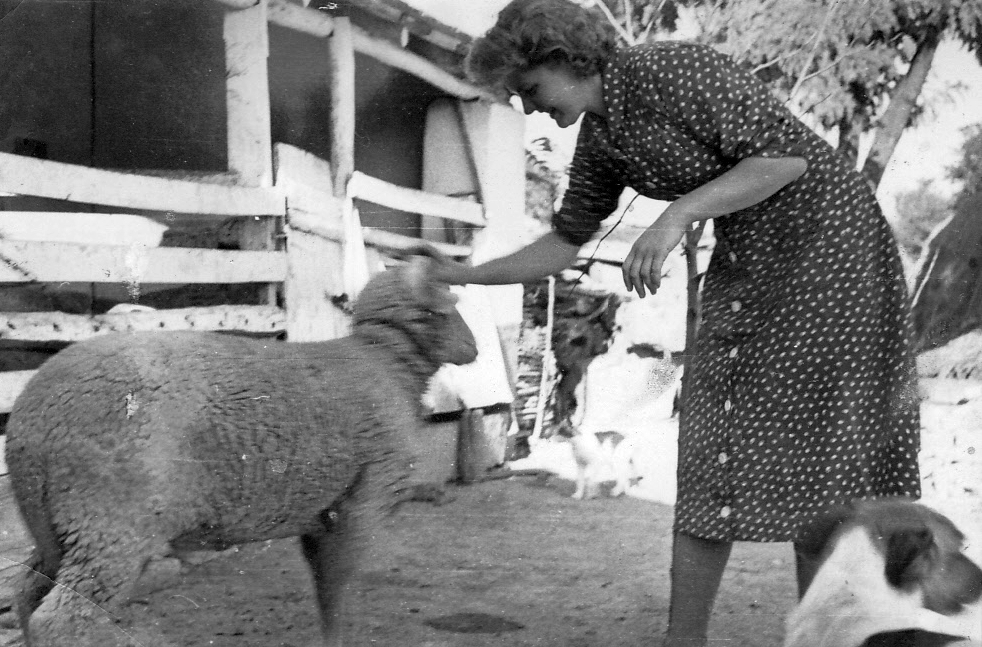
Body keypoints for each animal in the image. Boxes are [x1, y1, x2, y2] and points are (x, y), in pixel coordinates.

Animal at [2, 258, 480, 647]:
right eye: (449, 305)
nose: (474, 349)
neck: (386, 362)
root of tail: (29, 419)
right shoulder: (364, 499)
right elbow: (337, 586)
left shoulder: (321, 510)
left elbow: (324, 584)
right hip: (109, 522)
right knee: (59, 619)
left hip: (60, 525)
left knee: (26, 593)